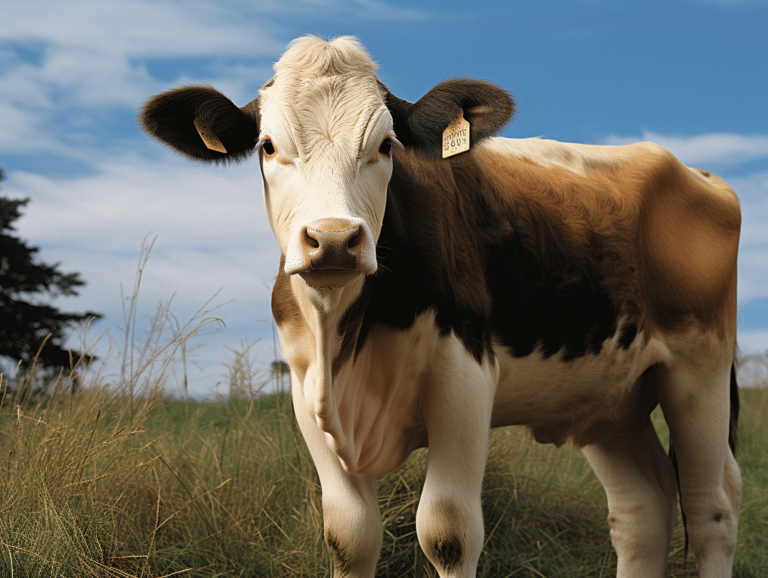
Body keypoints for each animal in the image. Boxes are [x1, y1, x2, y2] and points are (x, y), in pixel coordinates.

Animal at [141, 35, 742, 578]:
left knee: (711, 509)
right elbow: (349, 536)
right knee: (644, 510)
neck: (344, 341)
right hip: (609, 398)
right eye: (268, 146)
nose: (333, 239)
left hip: (700, 371)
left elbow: (448, 532)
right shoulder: (305, 391)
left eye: (386, 145)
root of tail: (696, 174)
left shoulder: (465, 378)